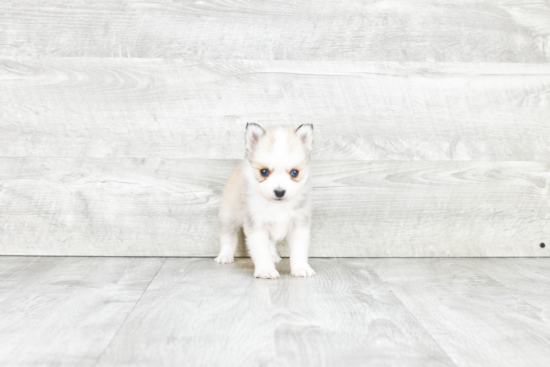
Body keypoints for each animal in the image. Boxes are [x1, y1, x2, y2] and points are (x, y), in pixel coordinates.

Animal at [217, 123, 316, 278]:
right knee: (228, 237)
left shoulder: (299, 224)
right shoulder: (256, 226)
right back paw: (225, 256)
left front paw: (300, 268)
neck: (277, 206)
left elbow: (298, 250)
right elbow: (261, 251)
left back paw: (274, 256)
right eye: (264, 172)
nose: (279, 192)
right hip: (228, 217)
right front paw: (266, 270)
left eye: (294, 172)